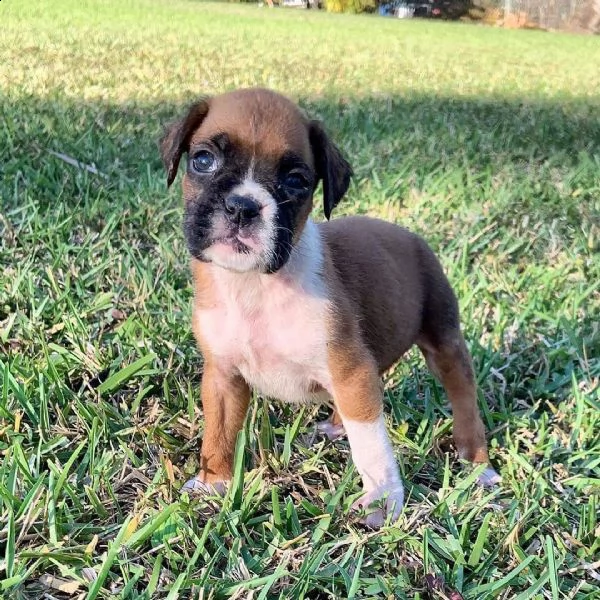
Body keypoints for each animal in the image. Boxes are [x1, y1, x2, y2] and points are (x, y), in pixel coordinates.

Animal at [159, 86, 502, 528]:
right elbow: (218, 434)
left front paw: (382, 500)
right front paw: (212, 483)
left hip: (444, 344)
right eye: (203, 160)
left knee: (463, 398)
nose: (242, 207)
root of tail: (411, 236)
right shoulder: (223, 378)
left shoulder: (351, 371)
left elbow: (371, 444)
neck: (255, 284)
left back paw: (478, 464)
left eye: (295, 181)